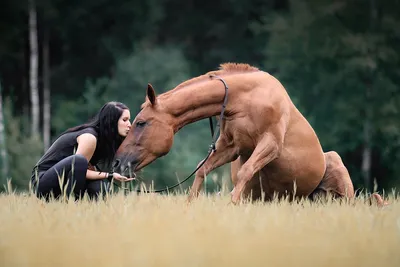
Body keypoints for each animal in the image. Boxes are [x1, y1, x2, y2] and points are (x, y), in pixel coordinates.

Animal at [113, 63, 360, 205]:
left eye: (140, 123)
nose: (117, 163)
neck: (242, 99)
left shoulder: (270, 143)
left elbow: (245, 171)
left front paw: (232, 203)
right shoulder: (230, 147)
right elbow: (202, 170)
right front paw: (189, 205)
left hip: (337, 173)